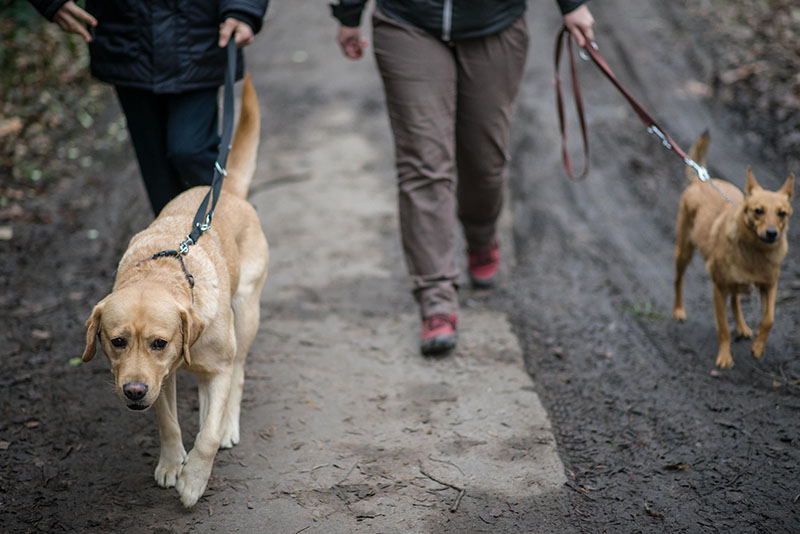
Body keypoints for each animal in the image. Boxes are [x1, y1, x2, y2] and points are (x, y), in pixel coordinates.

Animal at [81, 74, 268, 506]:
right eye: (117, 341)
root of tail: (227, 193)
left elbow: (209, 435)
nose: (133, 391)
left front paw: (194, 479)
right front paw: (170, 464)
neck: (165, 273)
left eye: (159, 342)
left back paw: (228, 420)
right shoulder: (160, 380)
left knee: (238, 374)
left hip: (246, 313)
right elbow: (168, 423)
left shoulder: (212, 368)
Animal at [676, 132, 792, 370]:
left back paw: (742, 327)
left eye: (782, 213)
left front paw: (757, 347)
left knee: (736, 299)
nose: (772, 233)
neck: (756, 253)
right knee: (678, 280)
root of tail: (700, 179)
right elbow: (723, 328)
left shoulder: (769, 285)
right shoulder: (718, 287)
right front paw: (724, 358)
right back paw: (679, 310)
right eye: (758, 211)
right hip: (684, 252)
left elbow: (769, 319)